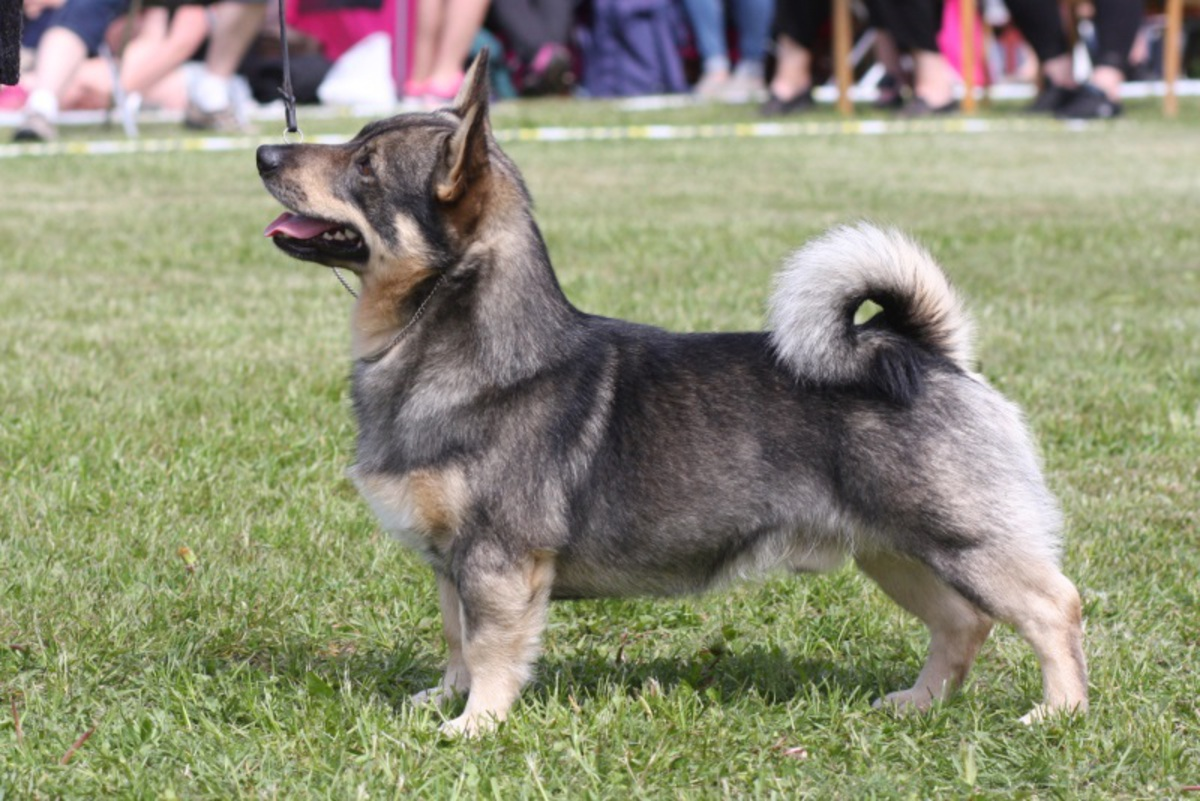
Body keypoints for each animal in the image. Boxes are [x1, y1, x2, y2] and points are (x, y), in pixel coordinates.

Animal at [260, 53, 1089, 733]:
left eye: (364, 167)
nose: (266, 150)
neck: (464, 348)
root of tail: (923, 350)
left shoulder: (497, 561)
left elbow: (492, 648)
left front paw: (476, 722)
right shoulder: (450, 566)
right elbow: (455, 637)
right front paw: (444, 697)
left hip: (961, 540)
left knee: (1053, 606)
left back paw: (1058, 711)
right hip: (893, 549)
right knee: (961, 624)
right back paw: (920, 701)